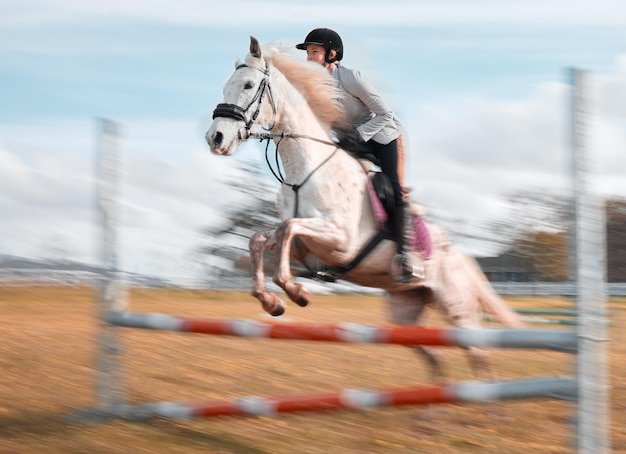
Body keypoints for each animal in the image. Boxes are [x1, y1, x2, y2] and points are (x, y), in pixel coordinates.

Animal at [206, 37, 520, 382]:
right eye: (226, 86)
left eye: (248, 85)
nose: (215, 138)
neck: (305, 168)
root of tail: (460, 255)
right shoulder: (305, 239)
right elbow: (261, 239)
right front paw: (272, 302)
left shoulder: (341, 238)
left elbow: (287, 230)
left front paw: (296, 291)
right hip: (404, 311)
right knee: (435, 356)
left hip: (456, 307)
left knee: (479, 356)